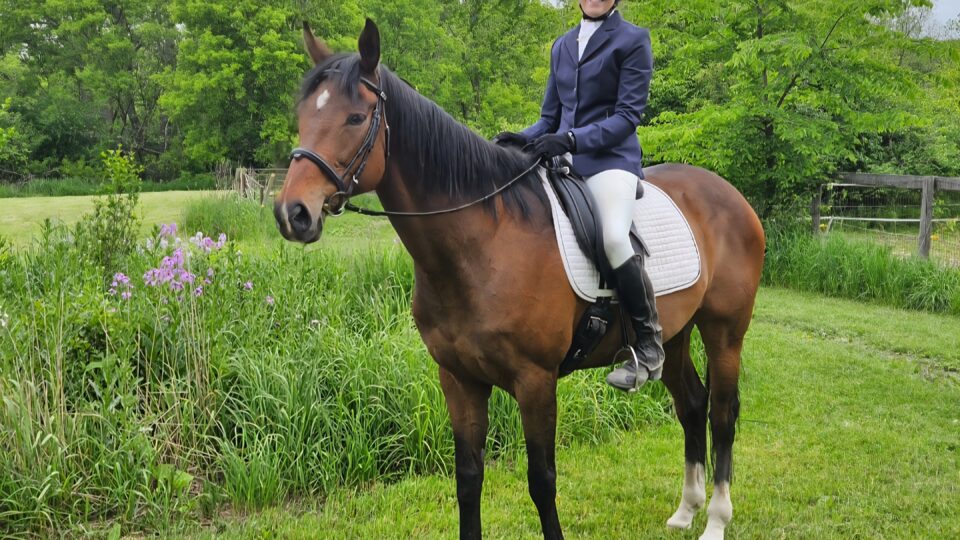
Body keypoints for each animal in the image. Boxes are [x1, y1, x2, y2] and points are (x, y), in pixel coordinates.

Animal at [275, 19, 765, 540]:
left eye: (355, 117)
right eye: (303, 114)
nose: (292, 213)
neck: (482, 245)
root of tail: (729, 194)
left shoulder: (535, 381)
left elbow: (542, 480)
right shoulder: (459, 379)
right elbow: (468, 478)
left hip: (725, 333)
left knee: (722, 414)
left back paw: (715, 520)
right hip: (673, 334)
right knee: (691, 405)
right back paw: (686, 511)